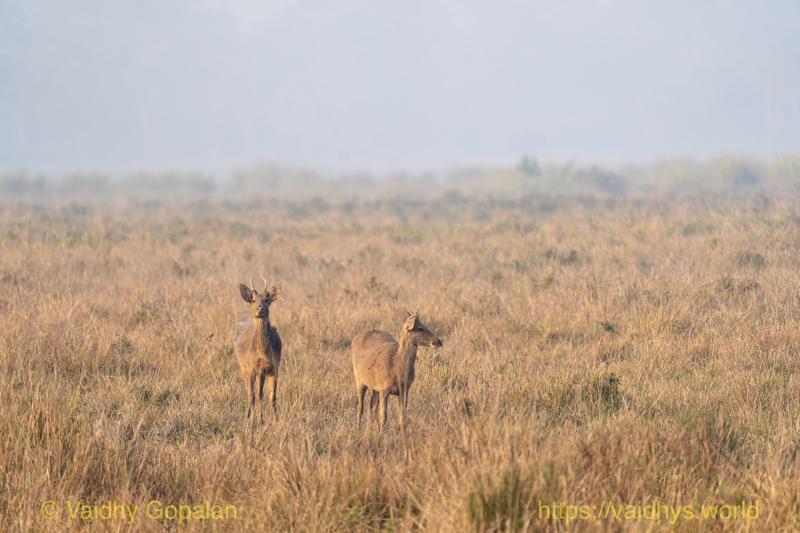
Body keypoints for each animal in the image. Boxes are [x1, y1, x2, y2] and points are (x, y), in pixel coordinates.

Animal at [234, 277, 282, 423]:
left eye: (266, 299)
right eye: (253, 300)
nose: (260, 309)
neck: (262, 353)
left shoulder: (273, 367)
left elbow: (272, 396)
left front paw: (276, 420)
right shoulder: (252, 368)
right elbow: (254, 396)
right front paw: (254, 421)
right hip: (244, 368)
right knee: (250, 394)